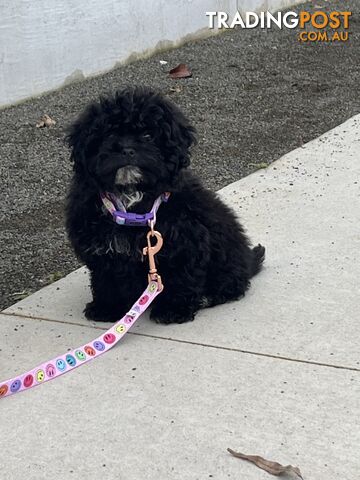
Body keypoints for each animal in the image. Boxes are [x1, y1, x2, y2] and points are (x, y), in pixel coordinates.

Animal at [65, 88, 264, 324]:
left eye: (148, 136)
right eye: (109, 135)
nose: (127, 149)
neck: (132, 201)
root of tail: (247, 261)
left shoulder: (184, 243)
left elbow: (180, 277)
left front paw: (173, 309)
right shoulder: (102, 250)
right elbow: (107, 280)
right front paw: (107, 307)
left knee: (231, 284)